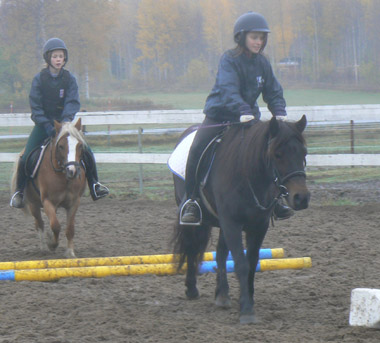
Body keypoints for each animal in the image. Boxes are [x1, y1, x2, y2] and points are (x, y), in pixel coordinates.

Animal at [12, 118, 86, 258]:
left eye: (79, 146)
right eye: (61, 146)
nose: (72, 171)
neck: (63, 177)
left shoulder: (75, 202)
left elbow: (70, 228)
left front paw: (70, 252)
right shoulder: (47, 201)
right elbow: (55, 225)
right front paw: (52, 244)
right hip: (34, 204)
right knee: (39, 224)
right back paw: (44, 247)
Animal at [171, 115, 310, 326]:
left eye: (304, 152)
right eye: (277, 154)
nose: (301, 198)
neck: (247, 174)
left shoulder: (258, 226)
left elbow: (251, 263)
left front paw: (248, 300)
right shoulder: (232, 224)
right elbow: (241, 263)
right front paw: (246, 311)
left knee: (220, 254)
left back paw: (222, 295)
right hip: (197, 216)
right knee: (191, 247)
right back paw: (192, 289)